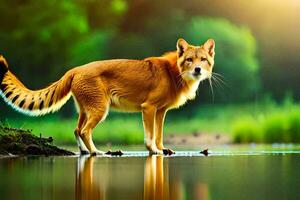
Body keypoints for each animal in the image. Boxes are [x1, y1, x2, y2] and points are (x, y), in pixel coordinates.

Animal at [0, 38, 216, 155]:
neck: (175, 71)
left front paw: (163, 149)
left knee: (76, 129)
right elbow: (150, 134)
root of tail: (76, 69)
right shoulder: (148, 107)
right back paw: (96, 152)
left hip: (85, 109)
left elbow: (159, 133)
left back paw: (84, 151)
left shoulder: (161, 111)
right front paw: (153, 150)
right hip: (100, 109)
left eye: (203, 59)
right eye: (189, 59)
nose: (197, 69)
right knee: (85, 130)